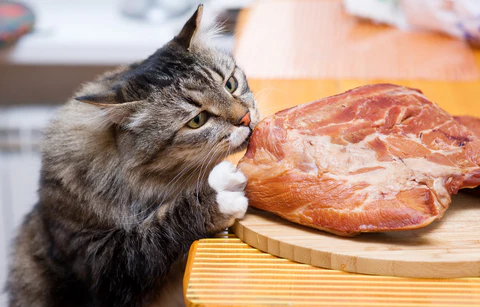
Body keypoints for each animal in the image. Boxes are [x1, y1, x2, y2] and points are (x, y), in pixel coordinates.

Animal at [5, 5, 260, 307]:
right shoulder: (101, 263)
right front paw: (217, 194)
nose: (245, 119)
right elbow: (159, 231)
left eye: (231, 84)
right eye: (197, 121)